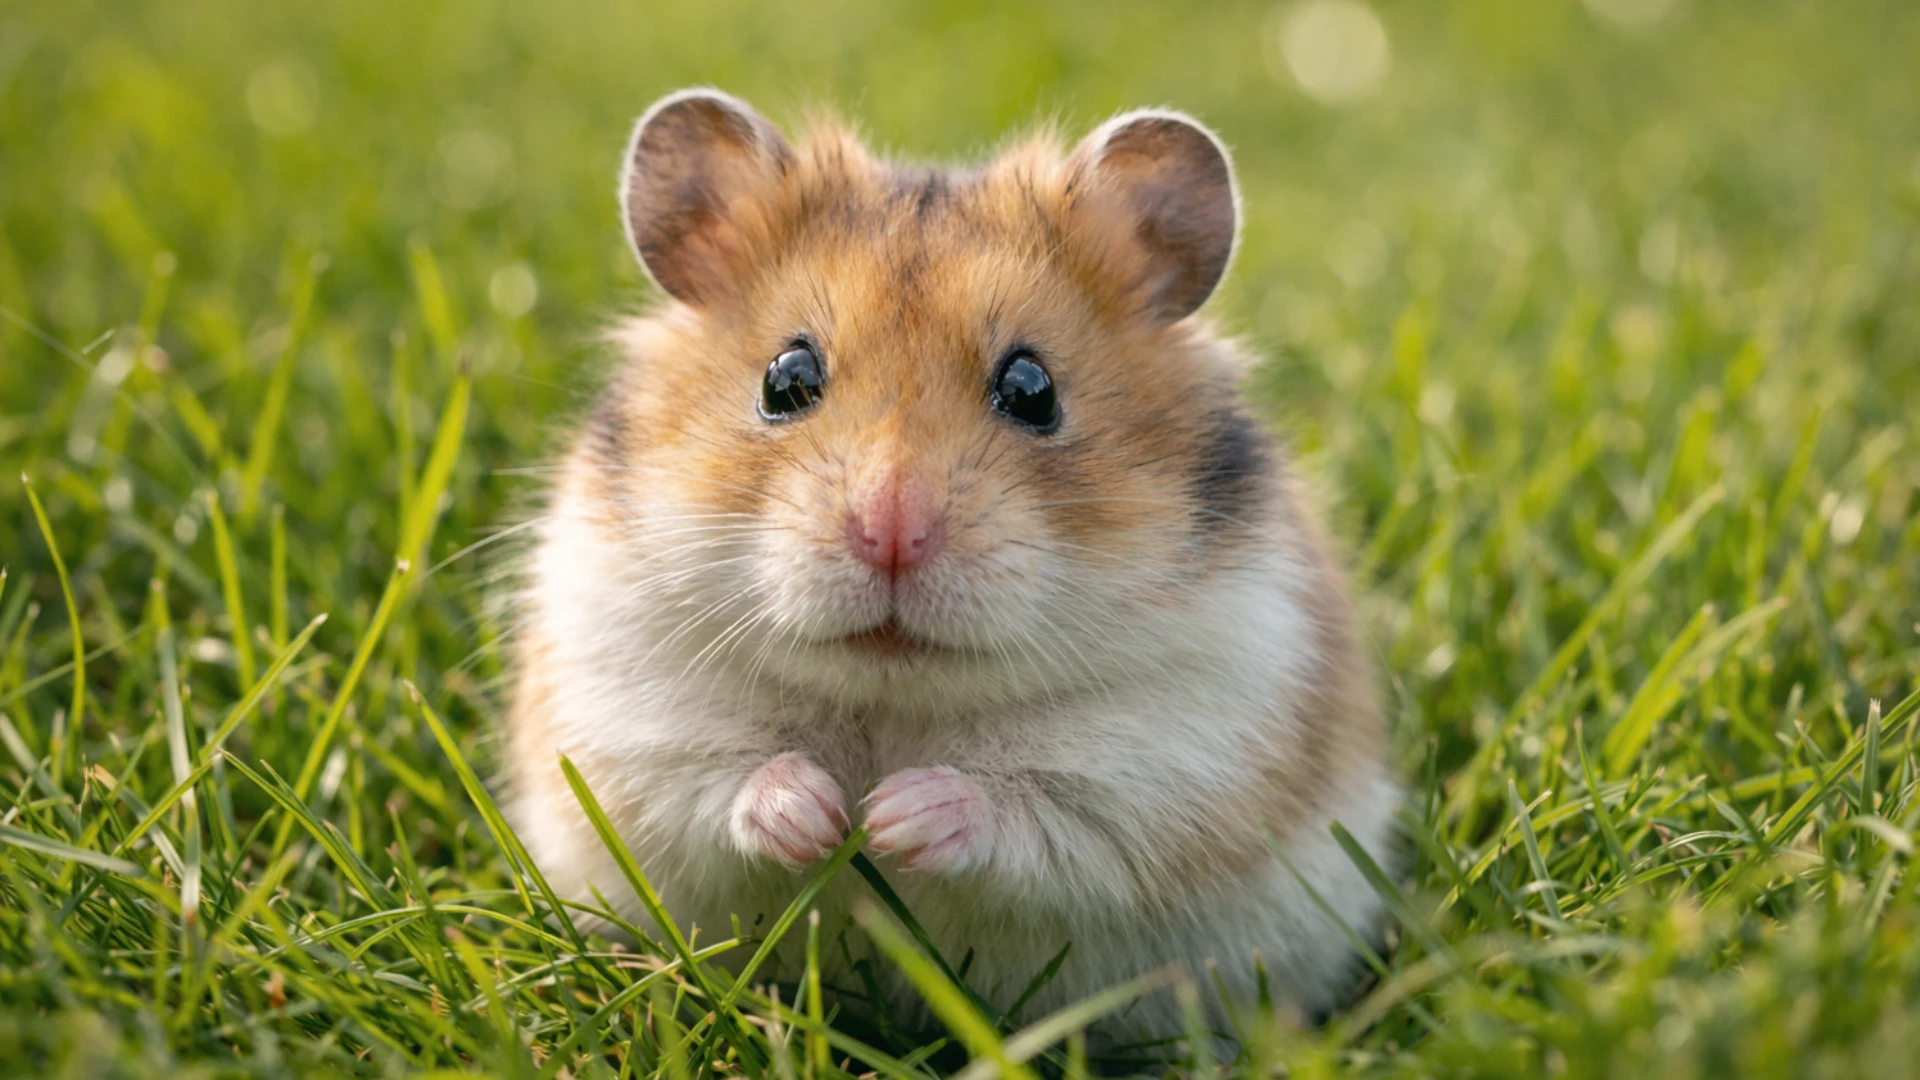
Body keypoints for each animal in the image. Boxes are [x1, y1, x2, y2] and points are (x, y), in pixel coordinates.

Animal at [504, 88, 1399, 1048]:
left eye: (1033, 388)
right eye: (785, 378)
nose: (891, 531)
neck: (895, 694)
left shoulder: (1175, 762)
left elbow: (1032, 817)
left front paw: (891, 818)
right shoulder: (628, 725)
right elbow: (725, 785)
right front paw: (827, 817)